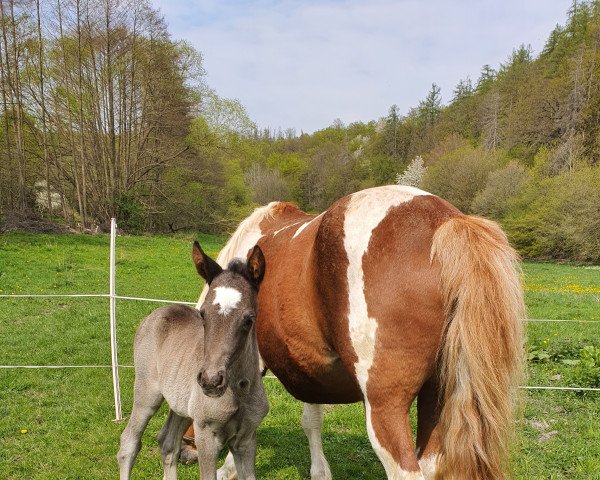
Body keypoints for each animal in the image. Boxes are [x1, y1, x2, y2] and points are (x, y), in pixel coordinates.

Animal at [186, 186, 520, 478]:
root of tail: (443, 221)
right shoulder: (308, 364)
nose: (188, 451)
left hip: (385, 408)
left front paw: (228, 469)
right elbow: (311, 420)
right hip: (437, 396)